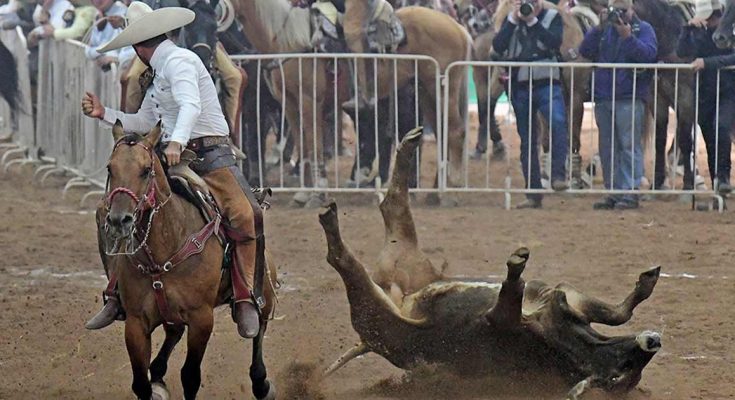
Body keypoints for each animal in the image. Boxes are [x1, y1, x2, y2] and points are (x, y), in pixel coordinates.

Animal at [99, 122, 278, 400]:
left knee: (259, 327)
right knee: (173, 332)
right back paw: (159, 376)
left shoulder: (201, 318)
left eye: (146, 170)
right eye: (110, 168)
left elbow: (190, 377)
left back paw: (261, 382)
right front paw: (153, 383)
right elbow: (140, 383)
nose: (119, 220)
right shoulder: (136, 322)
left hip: (265, 294)